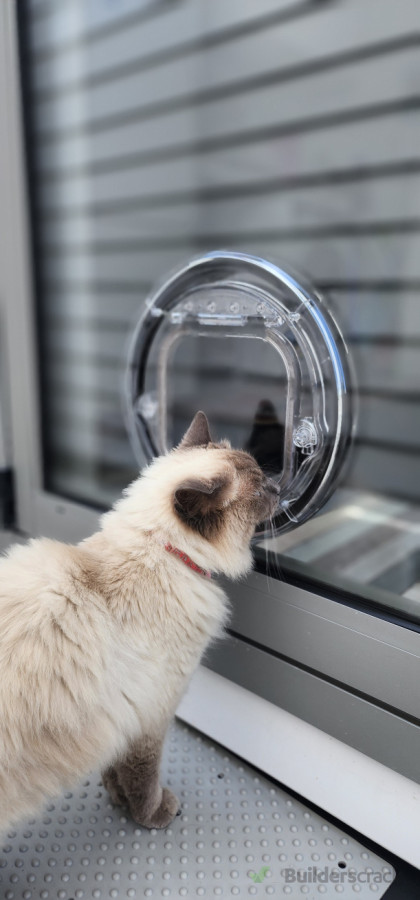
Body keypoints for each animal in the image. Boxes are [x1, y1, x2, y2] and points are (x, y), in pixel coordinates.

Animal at [0, 412, 278, 832]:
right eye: (260, 489)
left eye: (265, 477)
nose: (277, 487)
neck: (162, 550)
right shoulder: (151, 714)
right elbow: (143, 774)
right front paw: (152, 814)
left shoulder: (122, 720)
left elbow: (116, 768)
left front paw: (116, 797)